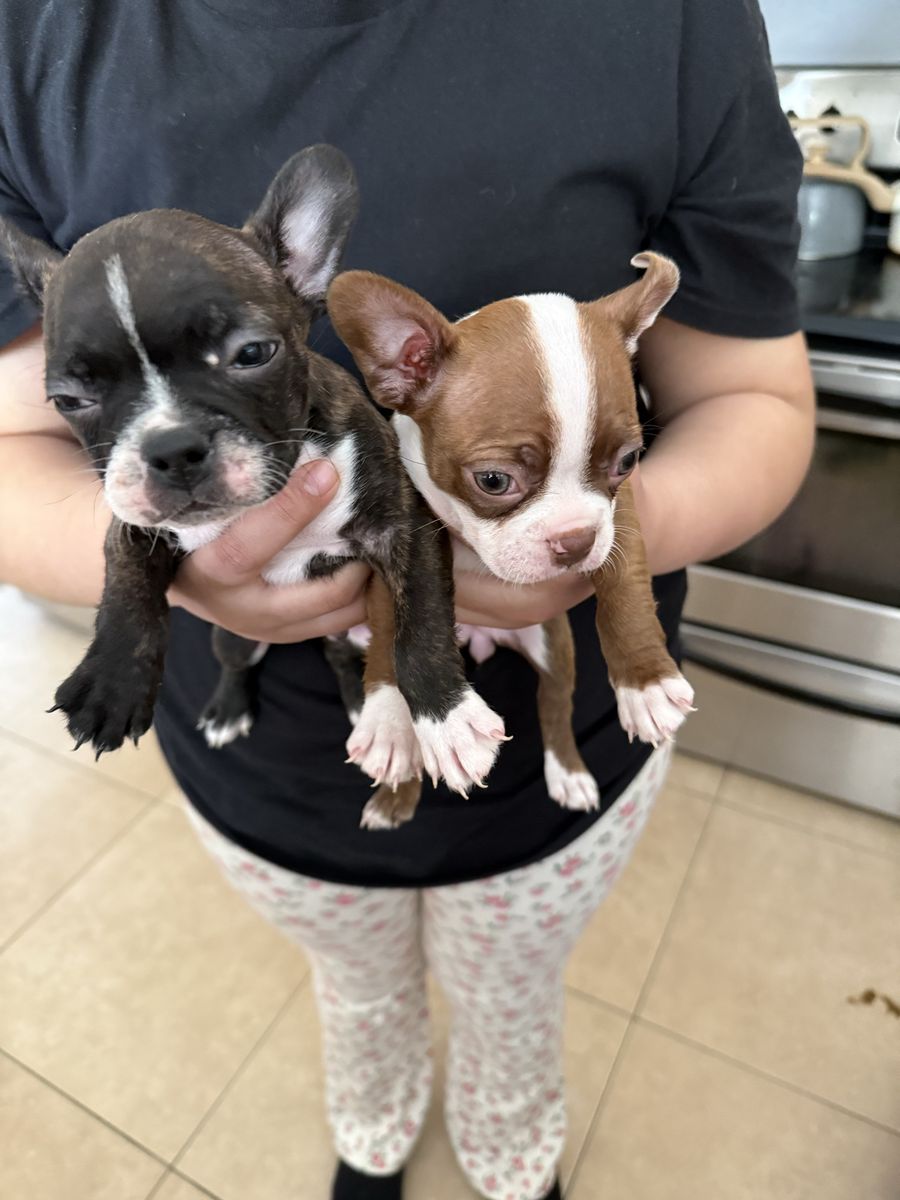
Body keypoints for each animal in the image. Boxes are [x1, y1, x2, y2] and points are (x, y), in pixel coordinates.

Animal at [0, 145, 508, 814]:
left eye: (252, 354)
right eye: (68, 400)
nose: (172, 447)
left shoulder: (403, 523)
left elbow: (421, 620)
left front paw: (446, 721)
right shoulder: (136, 519)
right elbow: (126, 574)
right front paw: (111, 681)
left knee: (346, 656)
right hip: (234, 637)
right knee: (239, 660)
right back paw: (227, 710)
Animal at [327, 252, 695, 827]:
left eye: (629, 461)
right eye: (494, 481)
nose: (574, 541)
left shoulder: (620, 518)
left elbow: (626, 587)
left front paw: (647, 683)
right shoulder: (396, 536)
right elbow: (392, 627)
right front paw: (389, 721)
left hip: (552, 643)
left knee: (554, 705)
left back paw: (568, 773)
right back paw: (395, 796)